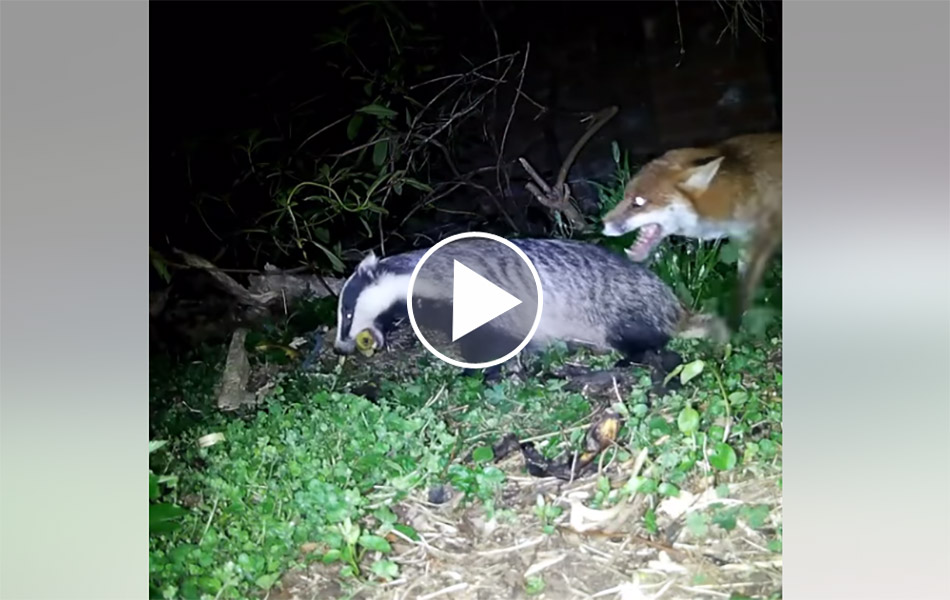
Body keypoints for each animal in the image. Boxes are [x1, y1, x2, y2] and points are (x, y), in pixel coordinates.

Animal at [604, 131, 780, 330]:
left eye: (638, 203)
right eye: (626, 195)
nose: (603, 223)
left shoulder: (762, 242)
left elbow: (744, 292)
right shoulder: (744, 243)